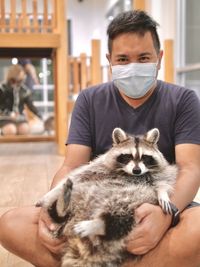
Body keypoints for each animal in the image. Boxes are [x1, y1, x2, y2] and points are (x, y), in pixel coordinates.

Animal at [36, 128, 177, 267]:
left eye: (145, 157)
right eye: (128, 156)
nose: (137, 170)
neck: (129, 174)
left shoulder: (158, 173)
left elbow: (163, 179)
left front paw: (163, 193)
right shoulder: (100, 166)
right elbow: (80, 174)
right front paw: (51, 193)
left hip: (131, 203)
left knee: (119, 219)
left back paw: (99, 225)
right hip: (78, 199)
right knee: (61, 215)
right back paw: (61, 207)